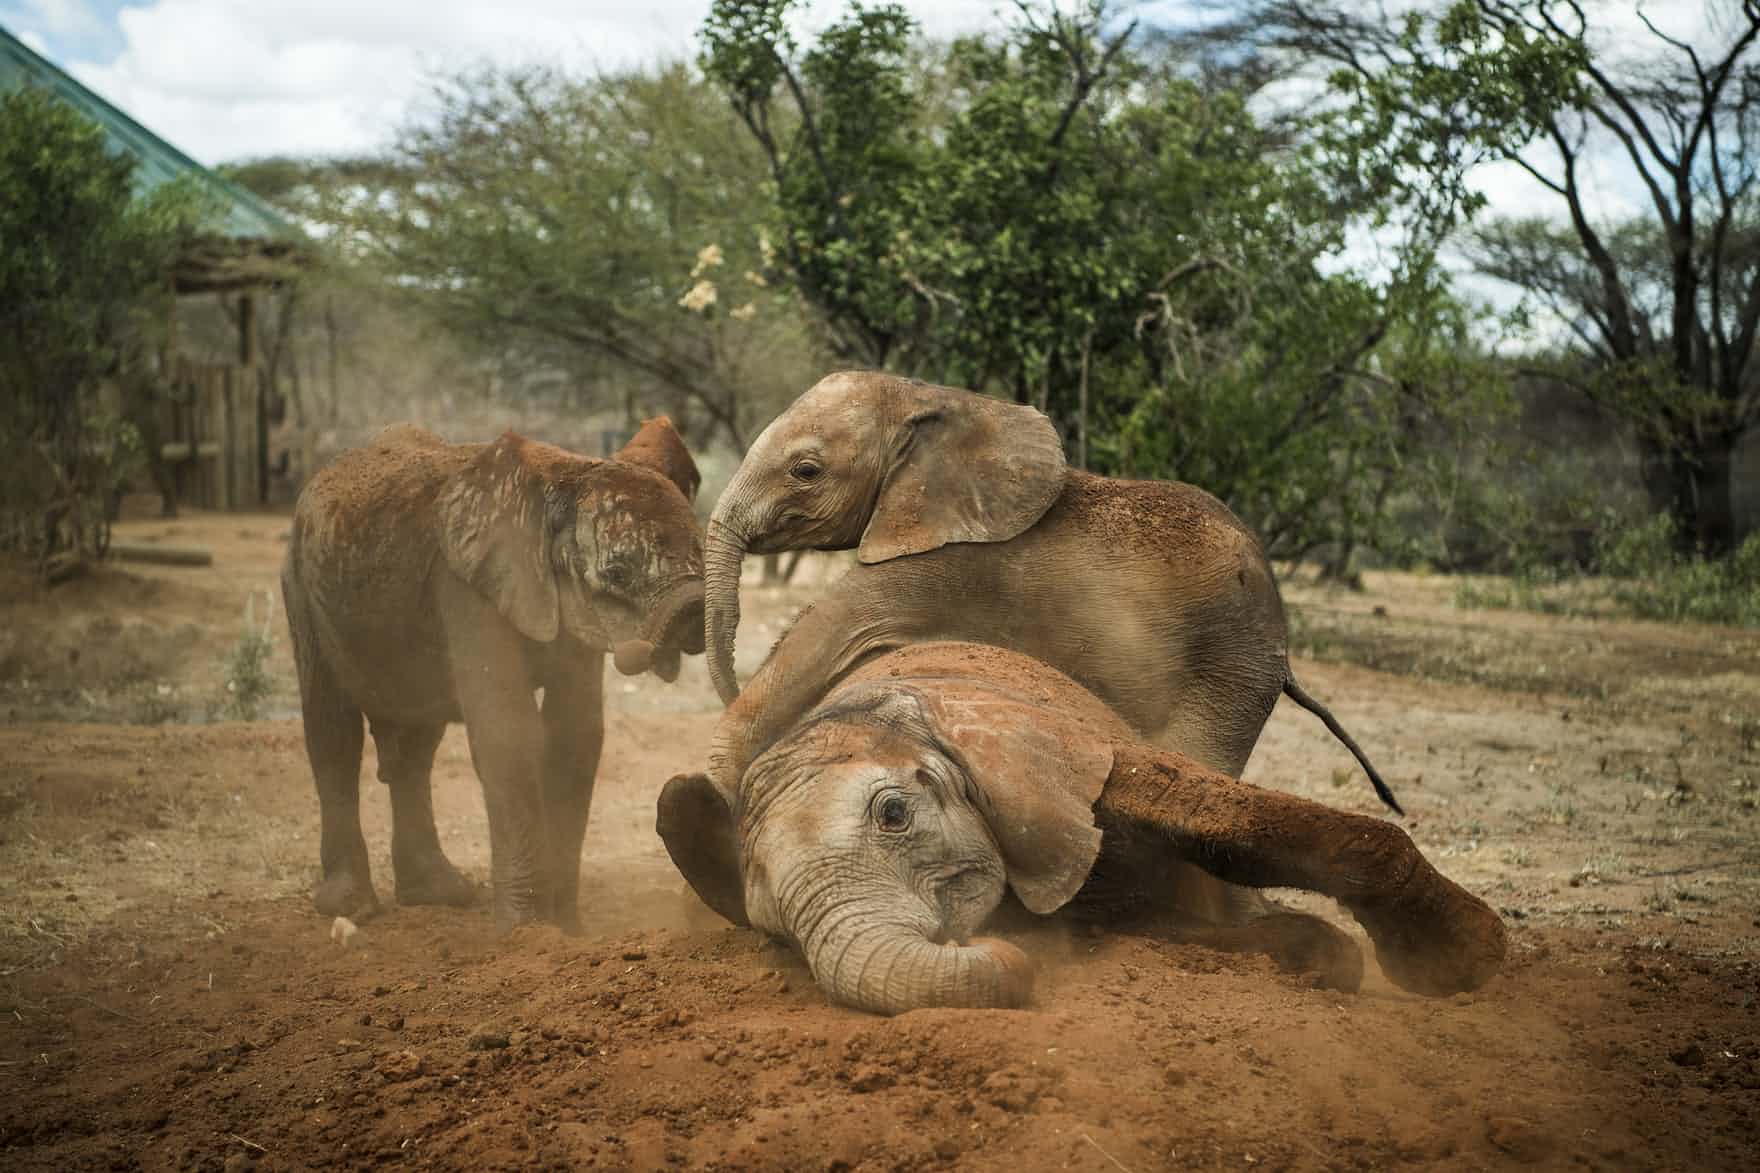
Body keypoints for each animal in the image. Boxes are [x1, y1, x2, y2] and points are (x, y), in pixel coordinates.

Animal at [285, 415, 704, 929]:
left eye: (701, 549)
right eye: (617, 573)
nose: (694, 610)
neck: (564, 476)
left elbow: (574, 735)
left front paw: (566, 929)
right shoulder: (465, 586)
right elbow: (509, 732)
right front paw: (525, 932)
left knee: (414, 746)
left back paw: (438, 896)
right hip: (301, 585)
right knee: (333, 731)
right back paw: (352, 908)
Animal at [654, 641, 1506, 1014]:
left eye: (894, 813)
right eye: (775, 931)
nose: (994, 947)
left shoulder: (1050, 756)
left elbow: (1221, 817)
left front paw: (1461, 960)